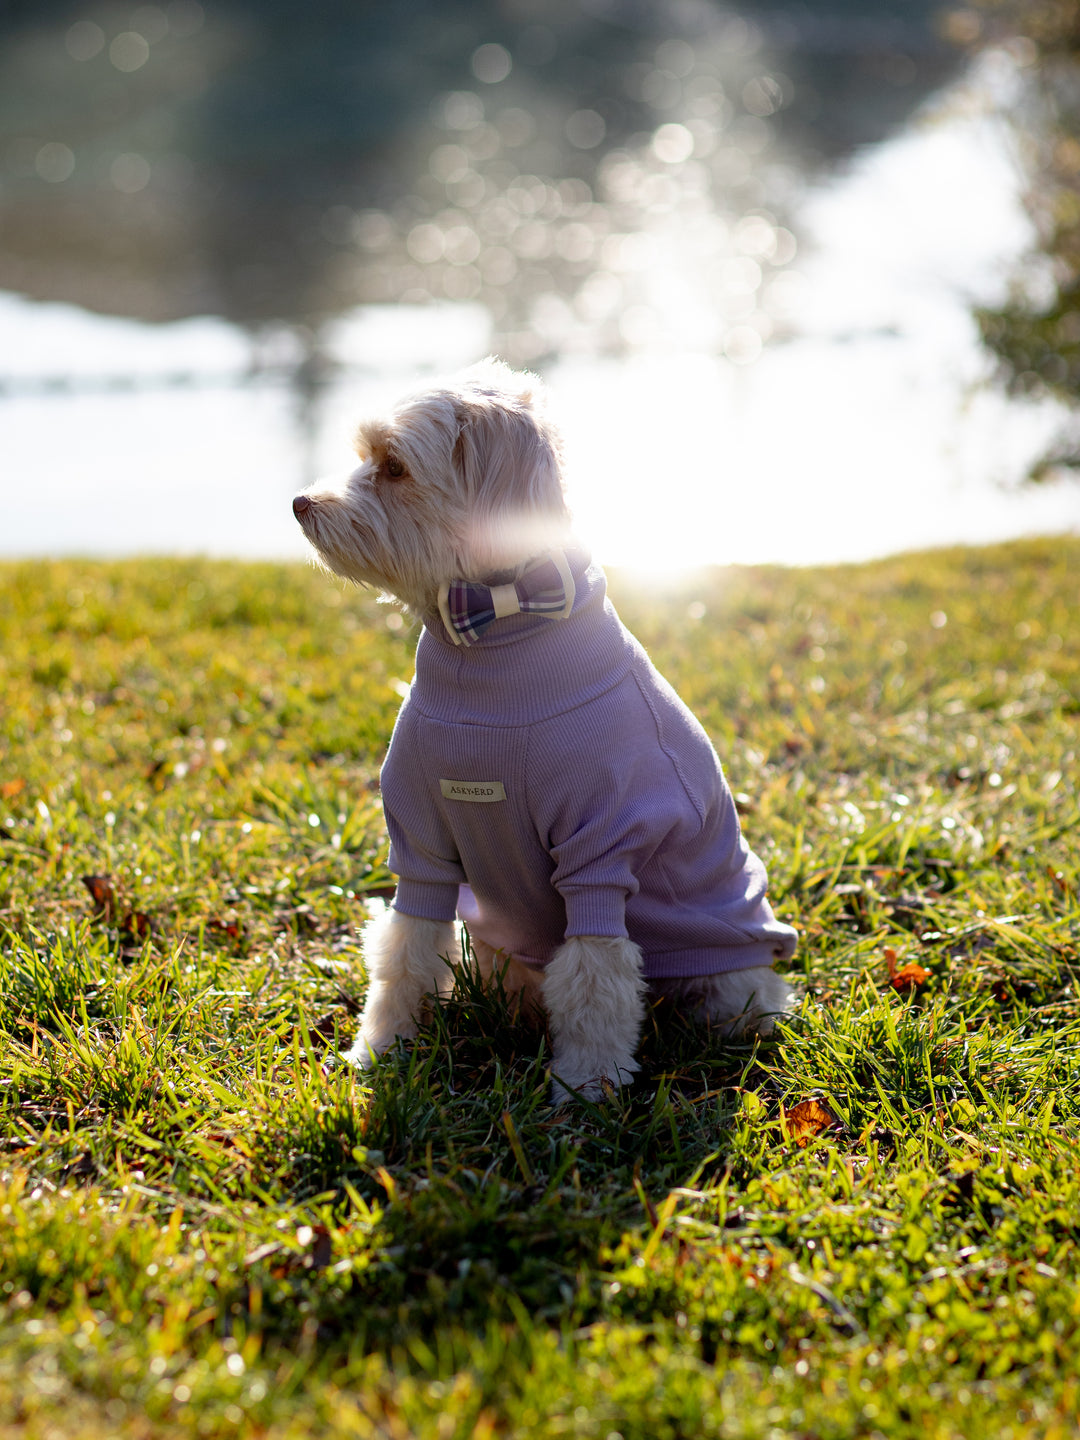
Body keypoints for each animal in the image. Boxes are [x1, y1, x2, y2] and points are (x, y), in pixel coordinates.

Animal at [292, 362, 800, 1100]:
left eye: (393, 466)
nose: (301, 502)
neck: (493, 633)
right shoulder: (418, 841)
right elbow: (404, 955)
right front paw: (381, 1050)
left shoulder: (603, 846)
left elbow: (594, 980)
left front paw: (587, 1086)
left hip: (726, 968)